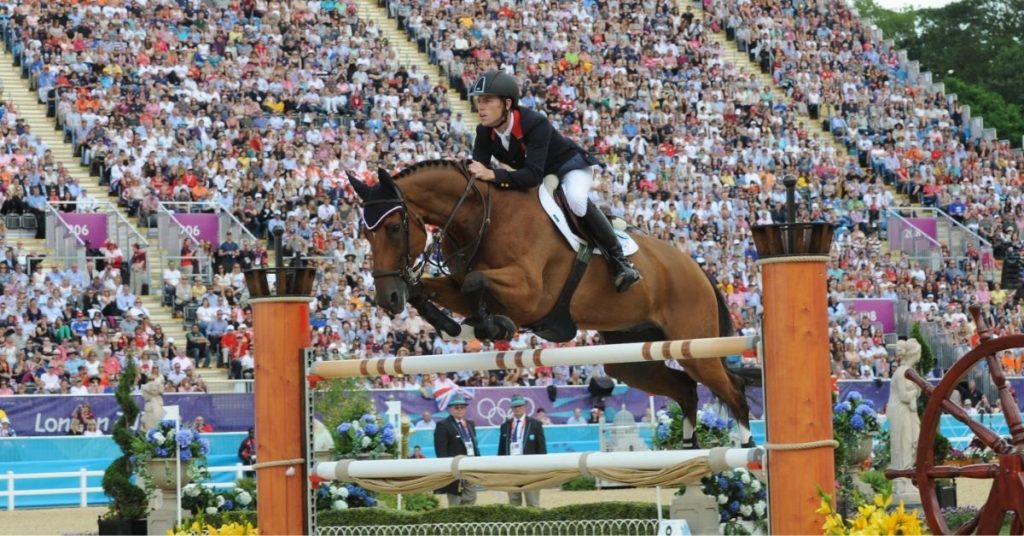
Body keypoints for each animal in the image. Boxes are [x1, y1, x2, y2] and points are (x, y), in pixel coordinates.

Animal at [349, 160, 754, 447]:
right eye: (365, 233)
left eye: (394, 228)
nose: (388, 298)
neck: (481, 217)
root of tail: (698, 269)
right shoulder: (459, 284)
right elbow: (435, 289)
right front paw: (453, 326)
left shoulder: (529, 294)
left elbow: (477, 282)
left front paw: (490, 325)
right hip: (631, 357)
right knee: (685, 389)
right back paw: (690, 454)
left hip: (696, 347)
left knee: (731, 390)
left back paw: (746, 454)